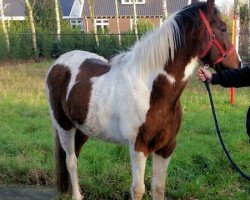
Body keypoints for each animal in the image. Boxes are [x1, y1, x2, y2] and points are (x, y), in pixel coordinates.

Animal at [46, 0, 241, 199]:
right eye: (223, 28)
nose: (238, 64)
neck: (151, 90)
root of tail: (59, 62)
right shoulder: (139, 147)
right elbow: (138, 189)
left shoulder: (166, 147)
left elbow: (159, 187)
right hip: (64, 126)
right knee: (71, 161)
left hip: (82, 128)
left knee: (75, 156)